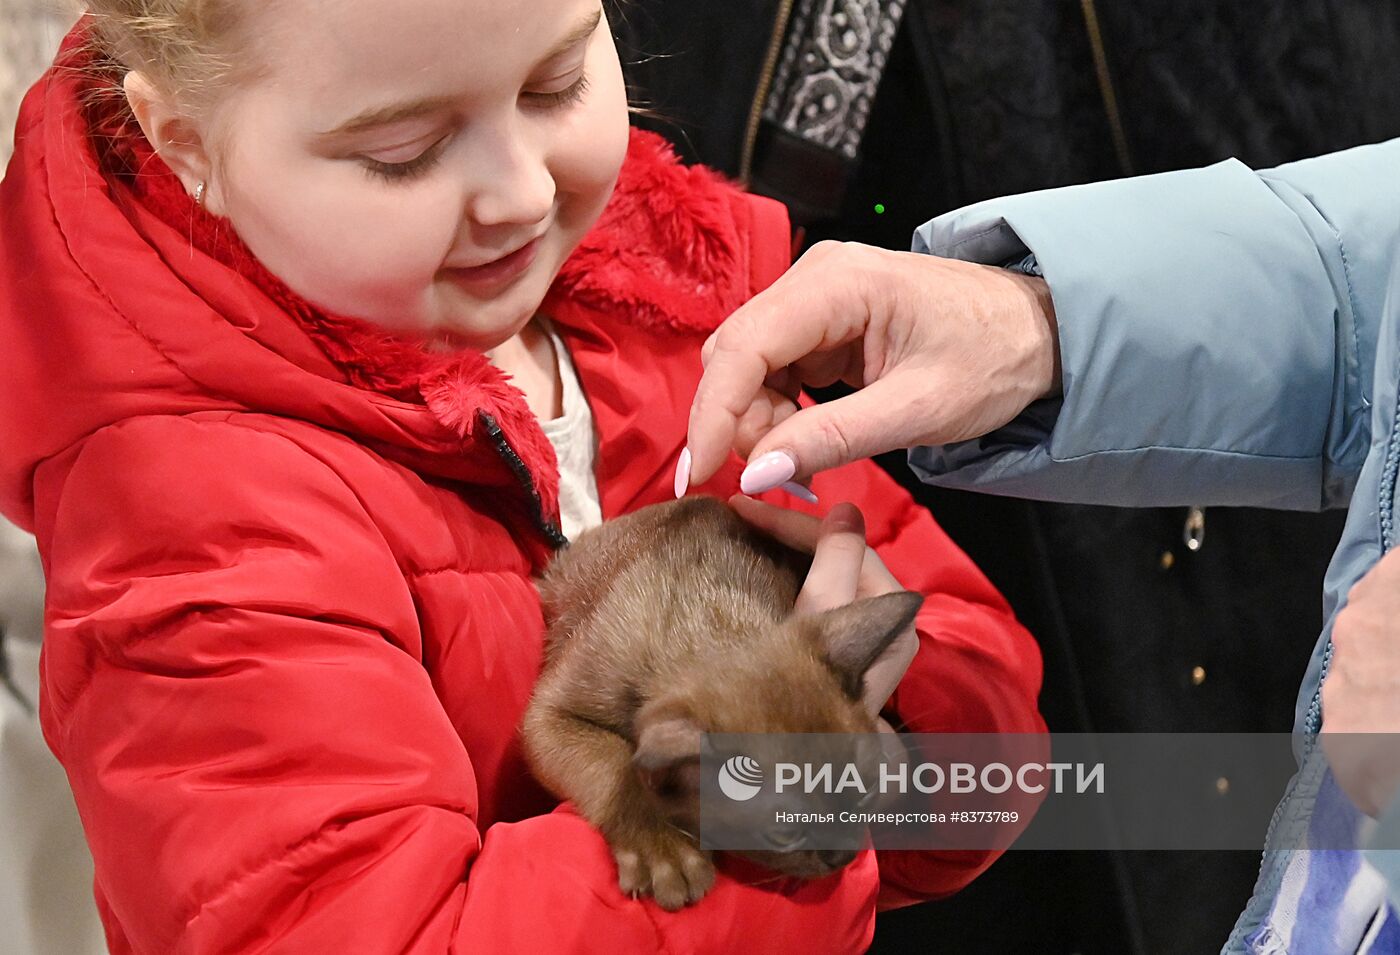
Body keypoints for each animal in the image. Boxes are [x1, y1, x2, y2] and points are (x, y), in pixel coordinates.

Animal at [520, 495, 924, 912]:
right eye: (784, 834)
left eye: (866, 792)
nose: (844, 857)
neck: (710, 619)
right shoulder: (547, 714)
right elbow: (615, 764)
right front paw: (665, 851)